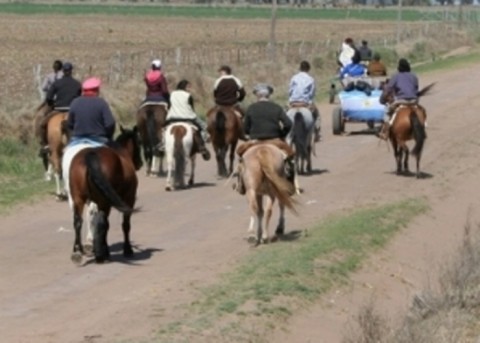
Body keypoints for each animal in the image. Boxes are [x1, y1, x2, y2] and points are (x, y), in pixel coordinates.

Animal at [61, 127, 142, 264]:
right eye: (139, 142)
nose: (140, 163)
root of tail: (90, 155)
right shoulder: (129, 199)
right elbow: (125, 225)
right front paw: (127, 249)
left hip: (78, 198)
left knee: (78, 221)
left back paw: (78, 252)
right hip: (104, 201)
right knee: (101, 222)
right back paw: (100, 254)